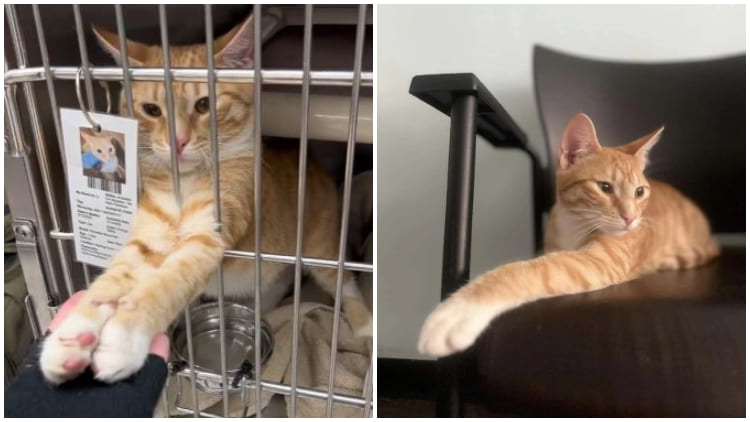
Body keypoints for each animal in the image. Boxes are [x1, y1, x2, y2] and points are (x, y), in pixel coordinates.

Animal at [38, 14, 374, 386]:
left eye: (204, 105)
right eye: (152, 110)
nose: (178, 141)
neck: (184, 183)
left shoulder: (208, 234)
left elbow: (167, 284)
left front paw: (123, 341)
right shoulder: (148, 236)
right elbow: (112, 281)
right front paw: (72, 337)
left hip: (321, 244)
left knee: (343, 282)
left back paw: (364, 324)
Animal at [420, 113, 720, 356]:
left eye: (639, 192)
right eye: (604, 187)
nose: (631, 218)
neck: (573, 224)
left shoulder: (598, 262)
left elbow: (524, 271)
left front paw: (460, 310)